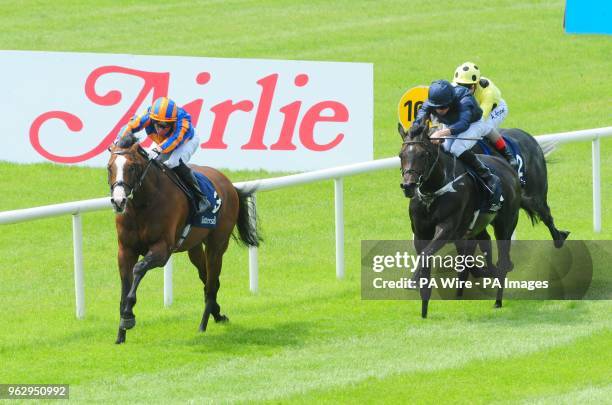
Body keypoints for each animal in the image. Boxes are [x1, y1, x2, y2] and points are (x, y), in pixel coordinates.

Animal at [106, 134, 260, 342]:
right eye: (109, 167)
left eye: (132, 167)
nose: (118, 201)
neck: (143, 204)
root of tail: (229, 183)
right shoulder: (125, 250)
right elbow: (124, 288)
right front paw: (120, 334)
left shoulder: (162, 250)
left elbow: (138, 269)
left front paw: (129, 316)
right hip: (194, 247)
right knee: (207, 278)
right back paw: (218, 314)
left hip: (217, 244)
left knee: (212, 283)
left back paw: (203, 325)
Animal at [402, 121, 520, 318]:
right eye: (401, 155)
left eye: (423, 154)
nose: (408, 185)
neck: (434, 191)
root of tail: (508, 167)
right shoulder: (420, 232)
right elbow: (425, 256)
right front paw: (424, 307)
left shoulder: (447, 228)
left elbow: (426, 254)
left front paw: (413, 280)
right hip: (478, 226)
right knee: (484, 243)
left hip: (505, 223)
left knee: (502, 260)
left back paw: (498, 300)